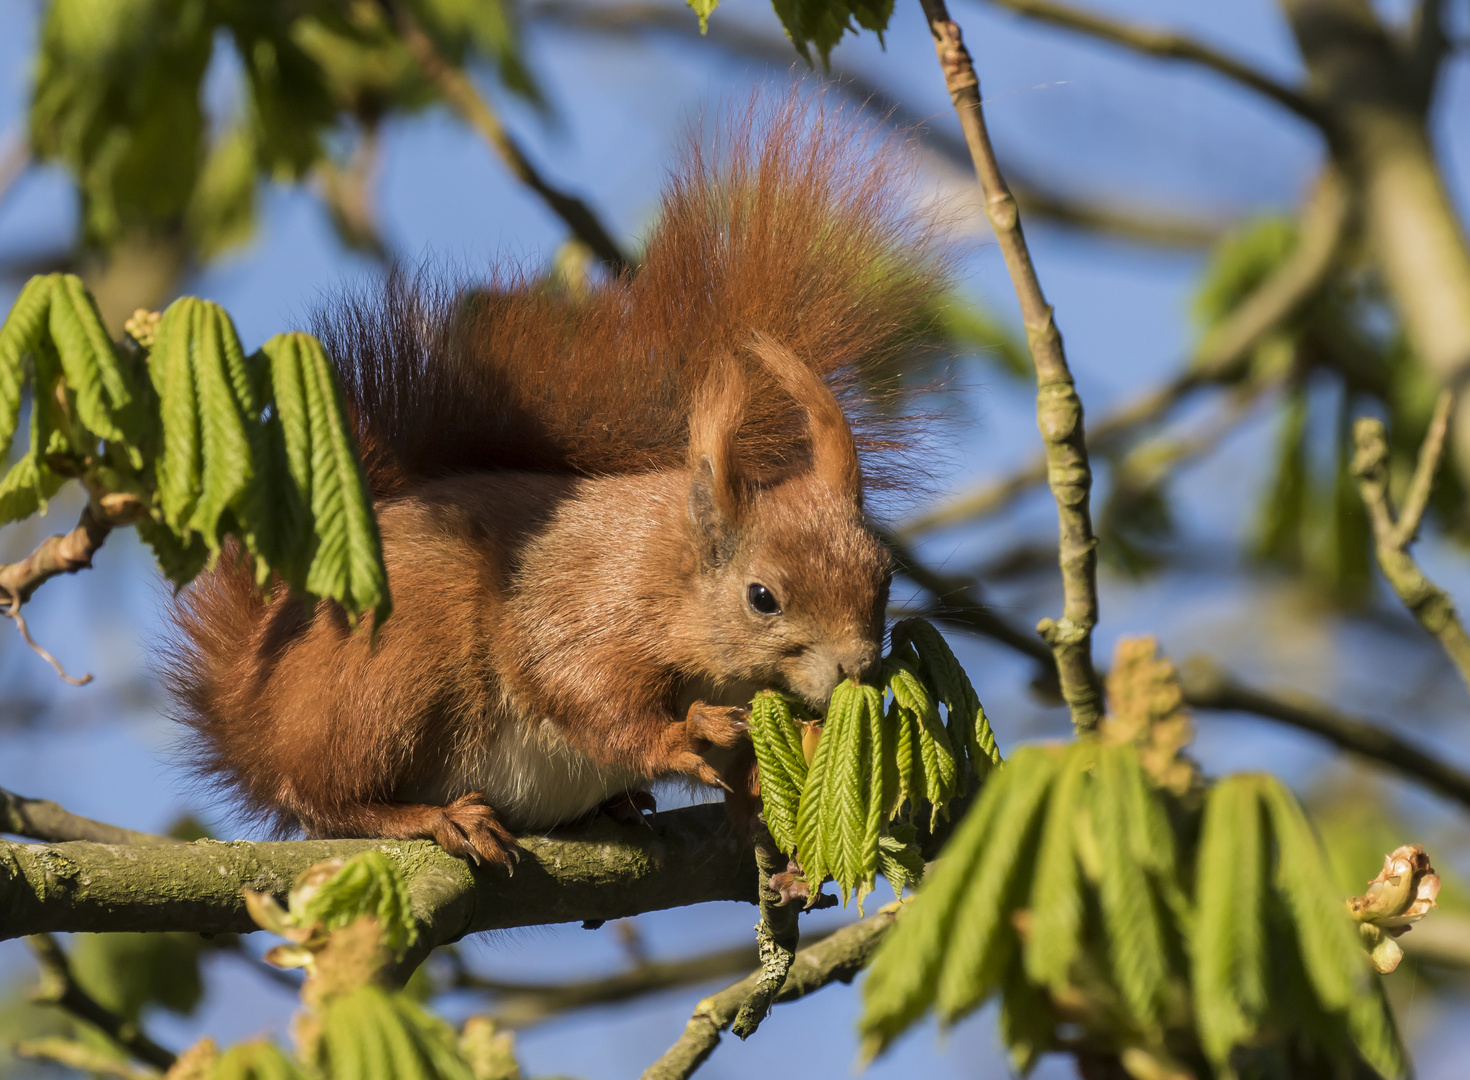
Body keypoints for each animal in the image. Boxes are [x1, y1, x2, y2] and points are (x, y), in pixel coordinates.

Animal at [160, 94, 940, 869]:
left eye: (886, 576)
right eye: (762, 598)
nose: (858, 668)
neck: (676, 574)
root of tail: (248, 716)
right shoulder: (591, 605)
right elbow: (574, 683)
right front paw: (680, 735)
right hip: (390, 675)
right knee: (323, 797)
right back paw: (435, 816)